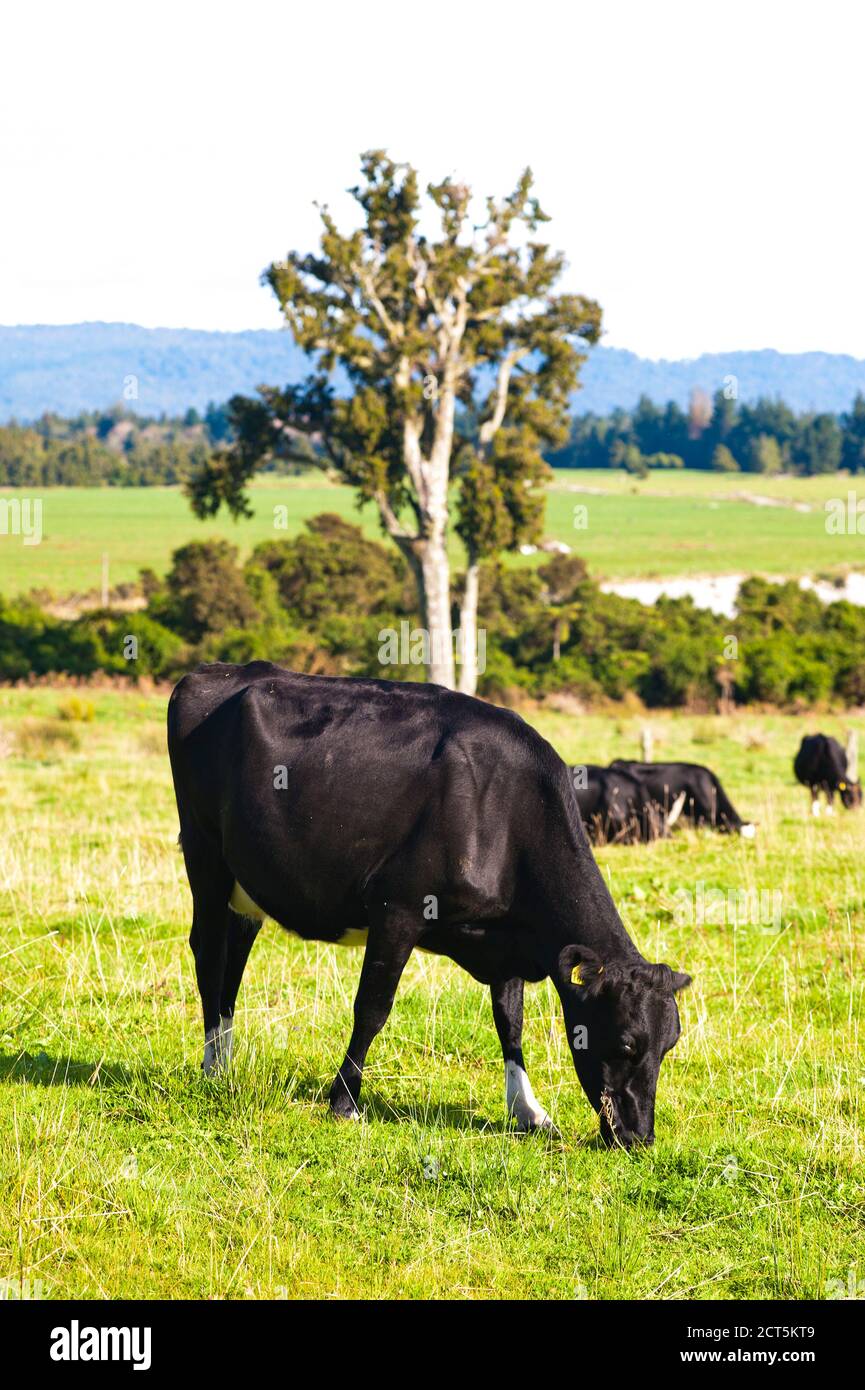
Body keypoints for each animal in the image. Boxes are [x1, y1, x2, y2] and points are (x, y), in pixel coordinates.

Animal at [167, 661, 691, 1149]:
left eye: (670, 1043)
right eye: (626, 1042)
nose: (640, 1137)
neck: (502, 813)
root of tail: (219, 672)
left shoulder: (507, 941)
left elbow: (511, 1021)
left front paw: (527, 1110)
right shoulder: (398, 910)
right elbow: (372, 1008)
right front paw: (344, 1101)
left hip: (246, 886)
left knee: (234, 959)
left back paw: (227, 1061)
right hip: (205, 854)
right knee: (208, 953)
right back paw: (212, 1067)